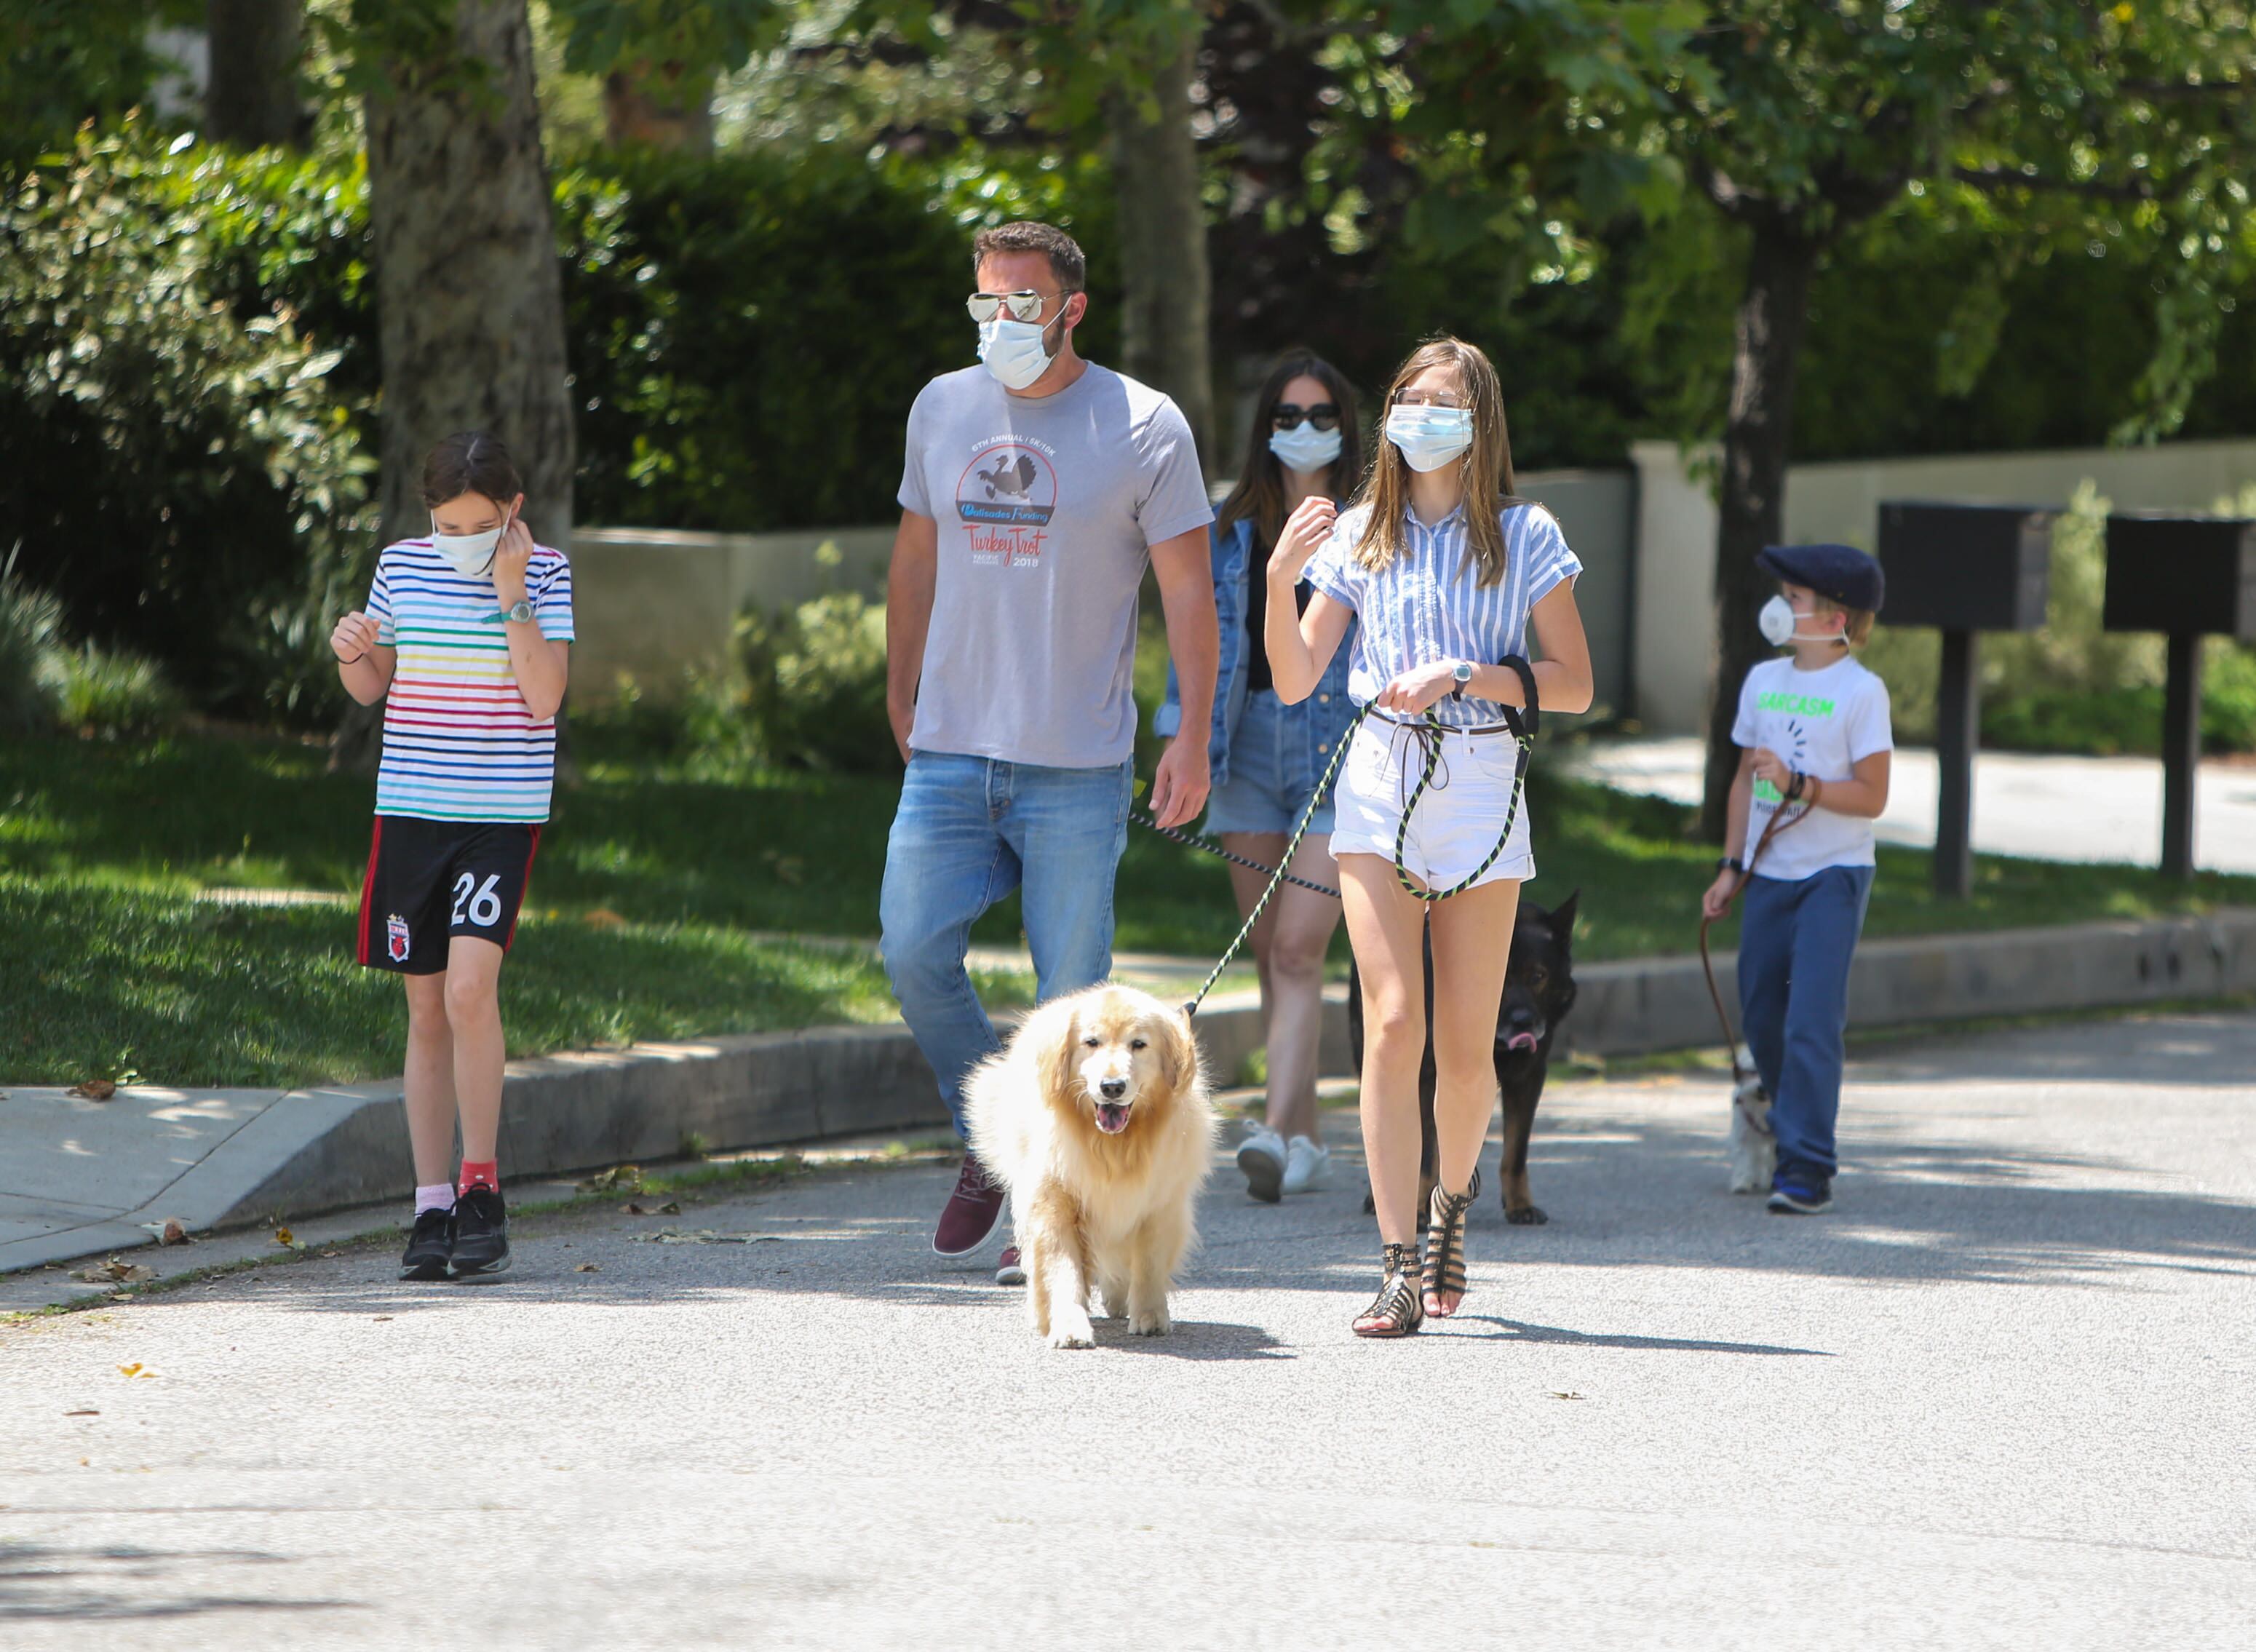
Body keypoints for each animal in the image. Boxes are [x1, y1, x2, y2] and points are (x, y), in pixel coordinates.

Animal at [965, 979, 1218, 1345]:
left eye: (1139, 1044)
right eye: (1091, 1042)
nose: (1112, 1086)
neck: (1113, 1147)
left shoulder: (1159, 1204)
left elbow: (1149, 1263)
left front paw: (1150, 1315)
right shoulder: (1054, 1204)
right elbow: (1062, 1270)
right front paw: (1069, 1325)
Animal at [1344, 889, 1579, 1227]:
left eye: (1537, 976)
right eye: (1499, 981)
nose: (1523, 1023)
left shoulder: (1528, 1077)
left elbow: (1516, 1152)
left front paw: (1520, 1204)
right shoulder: (1424, 1077)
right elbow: (1424, 1152)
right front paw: (1416, 1207)